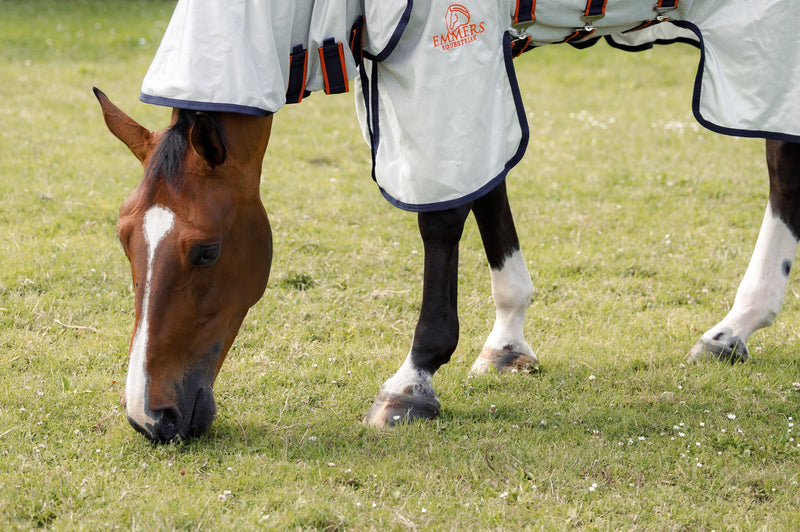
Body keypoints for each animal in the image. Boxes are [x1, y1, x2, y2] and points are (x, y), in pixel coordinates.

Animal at [97, 0, 800, 441]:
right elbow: (486, 191)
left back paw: (737, 326)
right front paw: (508, 344)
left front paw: (413, 382)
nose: (149, 417)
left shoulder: (445, 62)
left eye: (206, 251)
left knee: (782, 163)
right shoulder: (469, 78)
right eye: (125, 237)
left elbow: (441, 217)